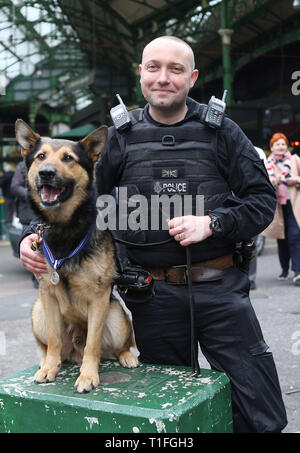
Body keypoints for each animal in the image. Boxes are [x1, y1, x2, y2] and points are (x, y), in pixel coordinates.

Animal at [15, 119, 139, 392]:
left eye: (68, 158)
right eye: (40, 157)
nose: (46, 173)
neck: (65, 227)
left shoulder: (99, 297)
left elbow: (92, 345)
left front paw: (88, 376)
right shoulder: (48, 295)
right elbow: (53, 340)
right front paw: (49, 369)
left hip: (116, 317)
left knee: (118, 345)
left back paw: (126, 356)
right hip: (38, 312)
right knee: (56, 347)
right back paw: (50, 362)